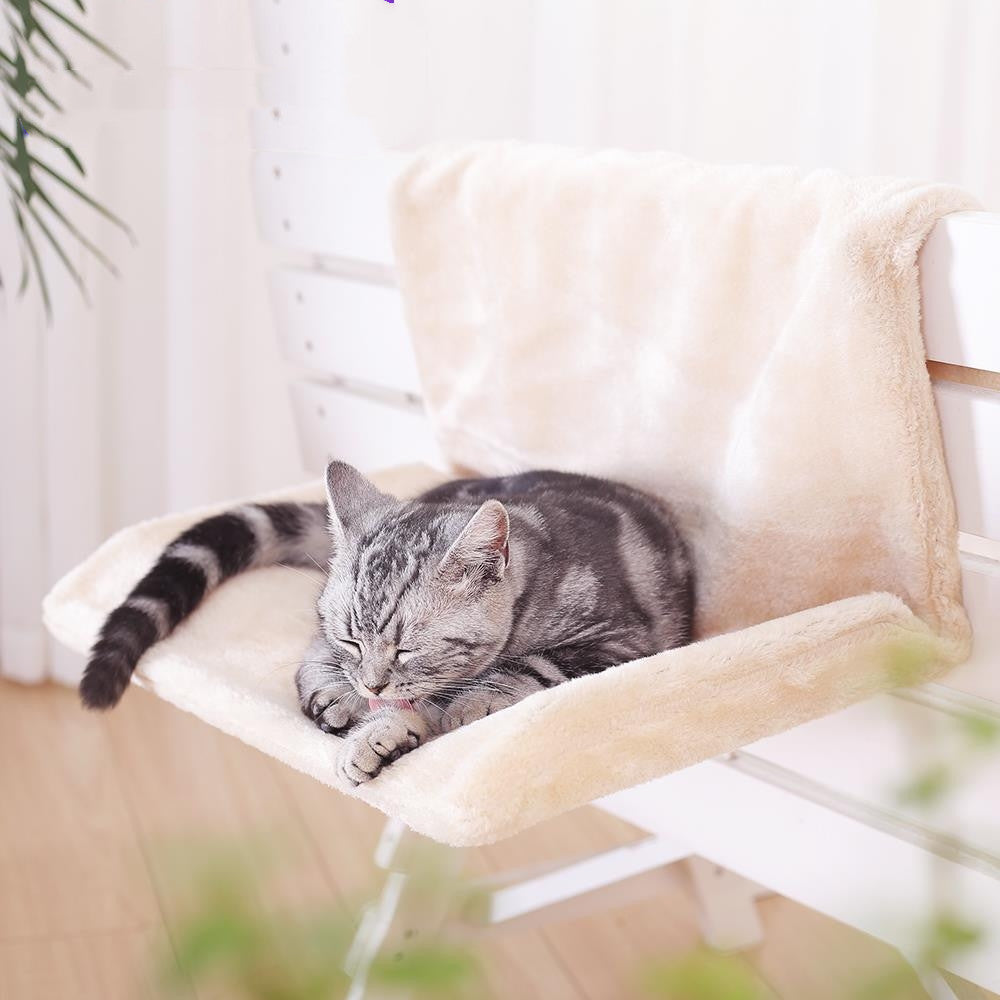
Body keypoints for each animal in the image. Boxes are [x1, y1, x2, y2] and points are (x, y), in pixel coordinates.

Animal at [80, 460, 696, 780]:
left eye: (407, 649)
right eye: (353, 640)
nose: (373, 685)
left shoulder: (624, 641)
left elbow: (533, 664)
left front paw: (460, 705)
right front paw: (361, 715)